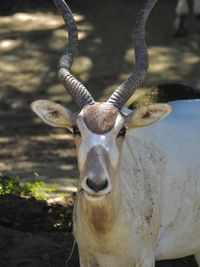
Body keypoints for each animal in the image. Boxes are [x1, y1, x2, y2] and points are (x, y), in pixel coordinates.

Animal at [31, 0, 200, 267]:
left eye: (122, 130)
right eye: (76, 129)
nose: (96, 183)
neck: (106, 226)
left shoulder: (145, 258)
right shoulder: (86, 258)